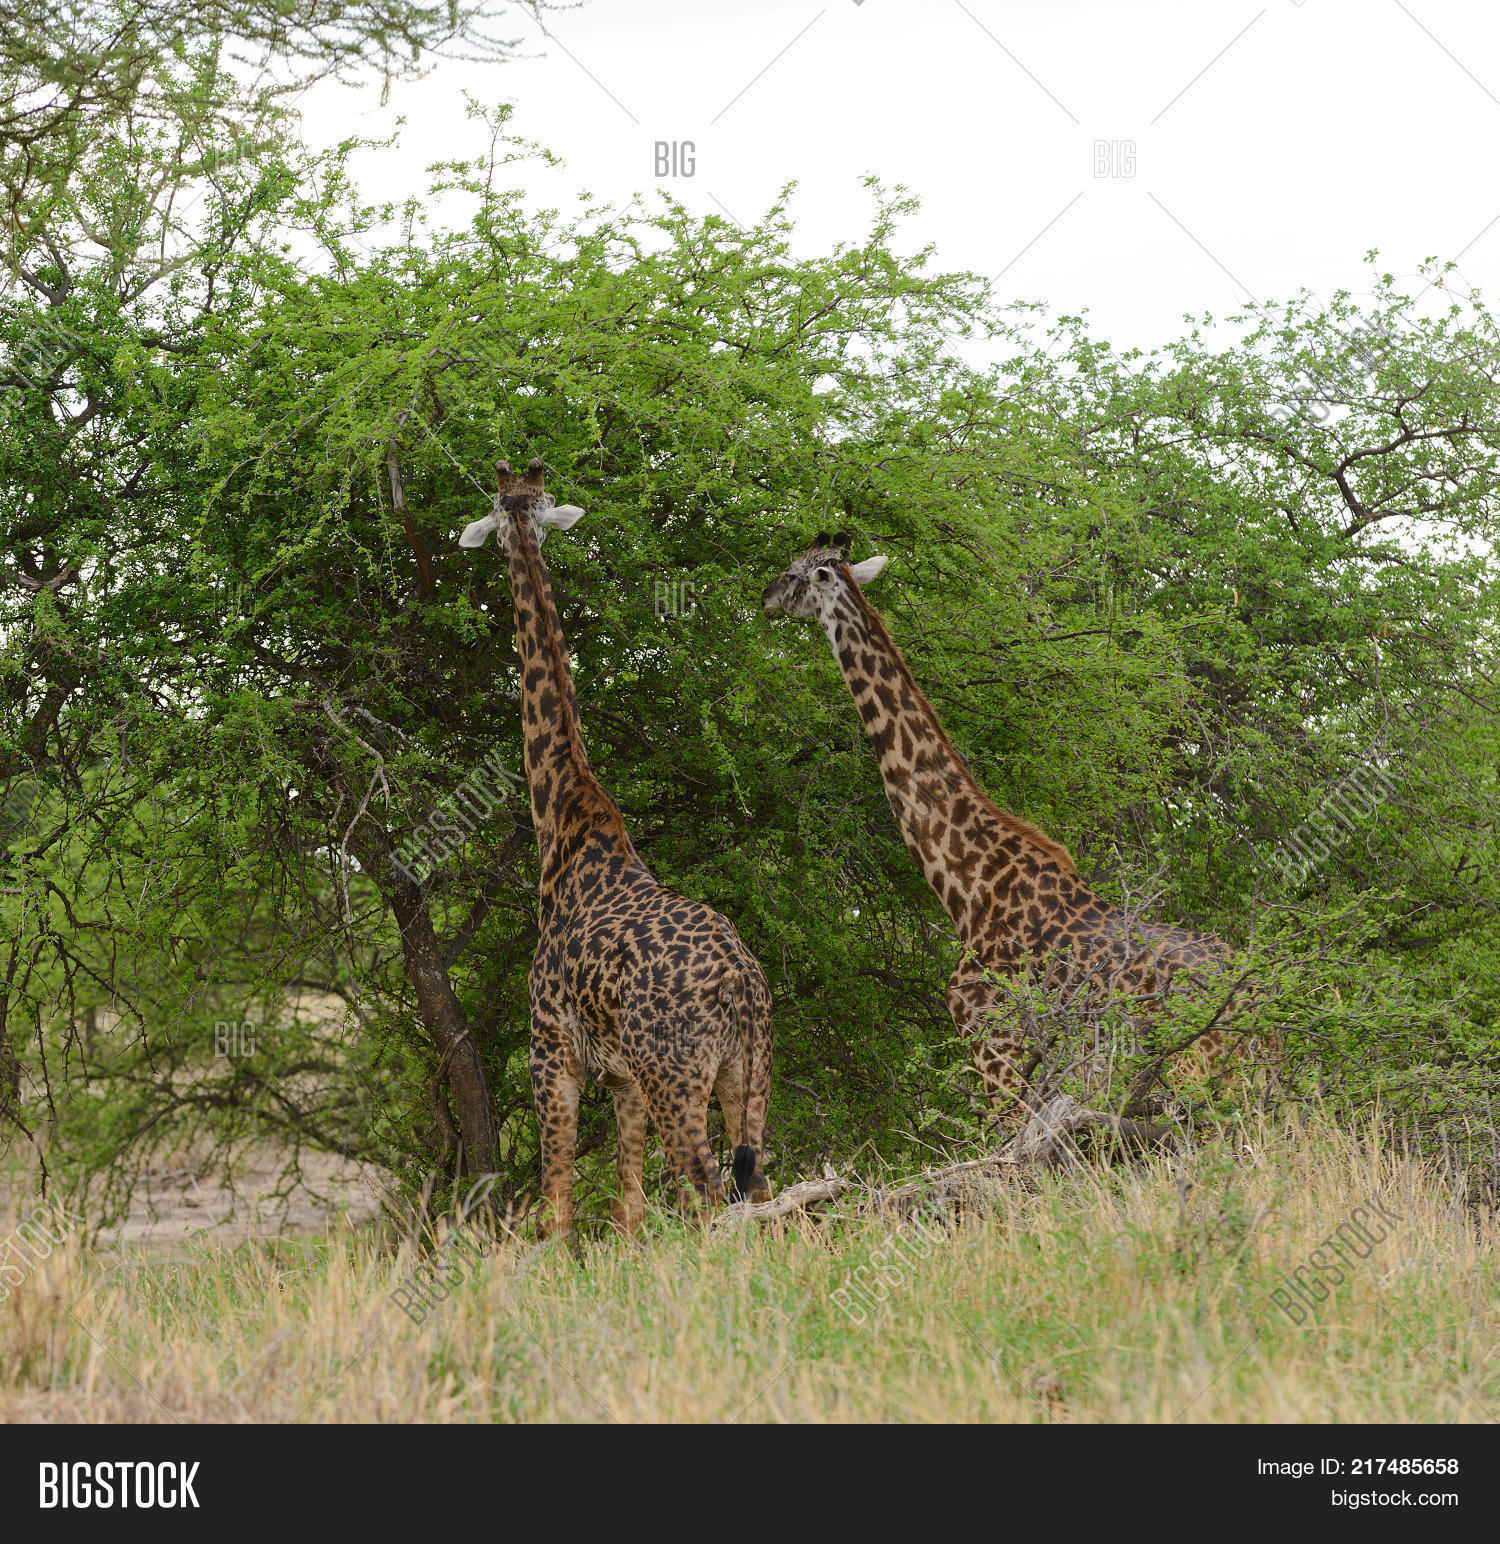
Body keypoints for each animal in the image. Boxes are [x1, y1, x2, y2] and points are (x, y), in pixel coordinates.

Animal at [459, 458, 773, 1238]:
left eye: (504, 513)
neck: (564, 823)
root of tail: (742, 982)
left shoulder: (551, 1054)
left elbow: (556, 1206)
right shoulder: (624, 1078)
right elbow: (628, 1209)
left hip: (677, 1073)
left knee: (704, 1190)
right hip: (744, 1072)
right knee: (755, 1189)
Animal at [762, 533, 1254, 1129]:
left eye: (793, 574)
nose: (764, 595)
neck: (968, 881)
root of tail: (1256, 992)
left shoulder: (991, 1032)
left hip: (1202, 1068)